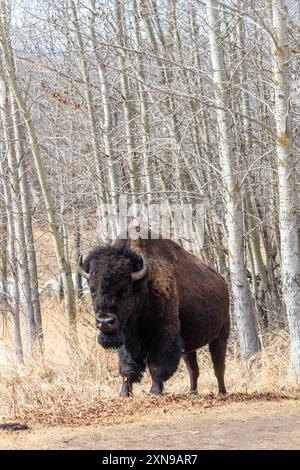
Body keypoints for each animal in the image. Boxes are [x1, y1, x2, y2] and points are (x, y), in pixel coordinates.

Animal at [78, 233, 230, 394]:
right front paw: (124, 392)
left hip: (221, 335)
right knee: (193, 368)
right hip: (189, 346)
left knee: (218, 366)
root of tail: (223, 282)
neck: (142, 288)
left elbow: (157, 366)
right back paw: (192, 393)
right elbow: (128, 368)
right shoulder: (126, 340)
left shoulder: (164, 336)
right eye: (93, 290)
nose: (105, 322)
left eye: (125, 290)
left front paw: (155, 391)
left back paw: (221, 392)